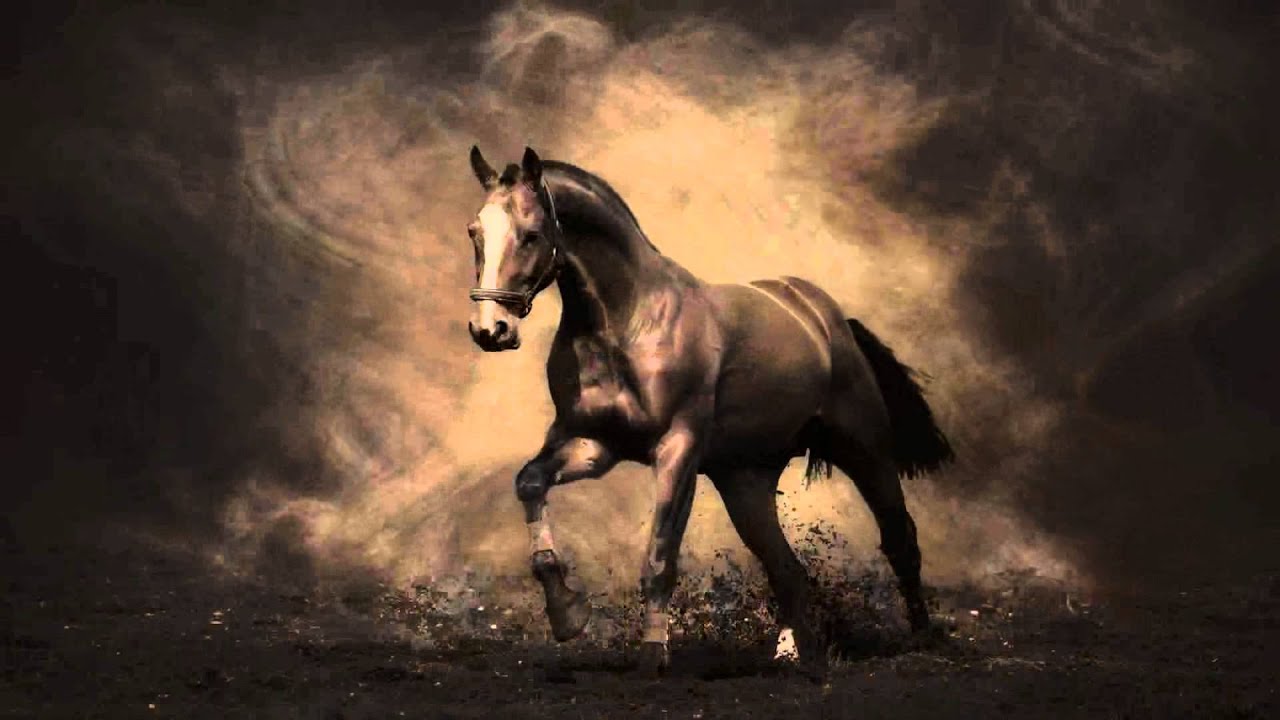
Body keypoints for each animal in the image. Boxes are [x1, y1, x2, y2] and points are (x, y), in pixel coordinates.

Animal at [462, 145, 955, 676]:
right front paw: (568, 614)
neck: (627, 323)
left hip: (863, 450)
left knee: (899, 538)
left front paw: (652, 658)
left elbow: (660, 557)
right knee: (786, 570)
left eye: (532, 234)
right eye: (475, 232)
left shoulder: (678, 449)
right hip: (745, 481)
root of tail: (827, 317)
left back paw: (922, 639)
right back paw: (801, 659)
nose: (490, 329)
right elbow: (530, 483)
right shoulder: (593, 444)